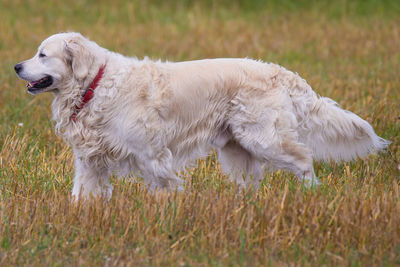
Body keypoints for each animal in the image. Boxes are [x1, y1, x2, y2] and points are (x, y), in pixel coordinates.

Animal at [14, 32, 388, 200]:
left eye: (42, 54)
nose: (16, 66)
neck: (94, 84)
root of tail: (280, 72)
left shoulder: (152, 155)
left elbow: (164, 188)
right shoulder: (90, 160)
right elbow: (82, 194)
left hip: (264, 138)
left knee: (303, 160)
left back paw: (311, 194)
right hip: (237, 150)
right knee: (251, 180)